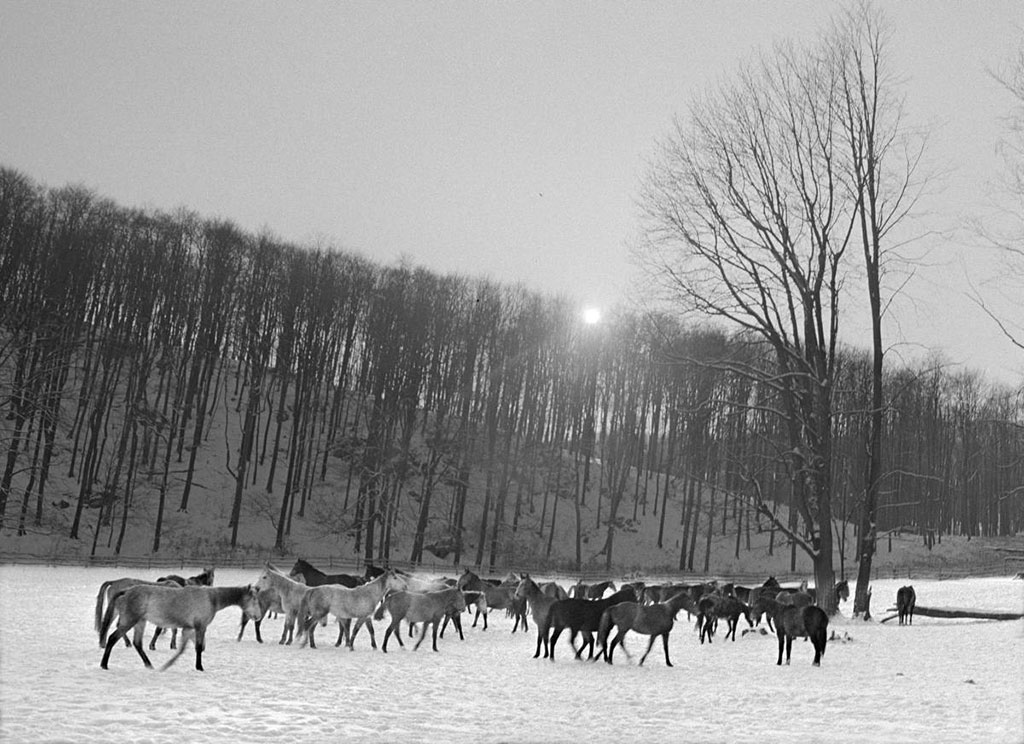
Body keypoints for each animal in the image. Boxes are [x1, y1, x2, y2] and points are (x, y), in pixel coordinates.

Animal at [98, 585, 260, 671]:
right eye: (254, 599)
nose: (258, 616)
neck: (212, 599)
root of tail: (126, 591)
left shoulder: (188, 629)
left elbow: (183, 649)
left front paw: (167, 665)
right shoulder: (200, 627)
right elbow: (198, 647)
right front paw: (199, 667)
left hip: (140, 622)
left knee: (137, 643)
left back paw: (149, 665)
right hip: (130, 621)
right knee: (112, 638)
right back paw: (104, 665)